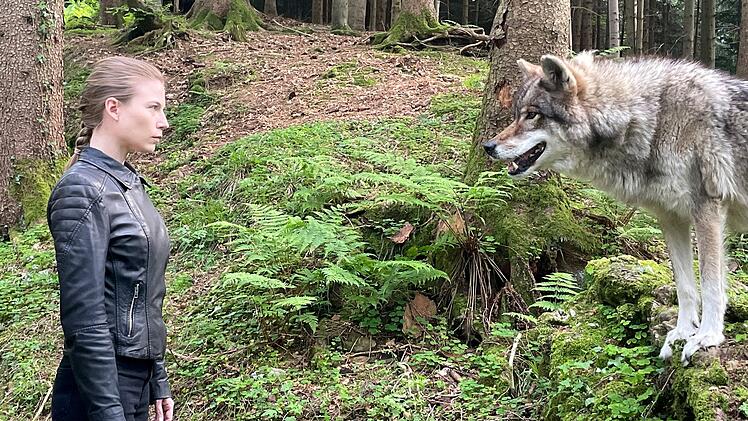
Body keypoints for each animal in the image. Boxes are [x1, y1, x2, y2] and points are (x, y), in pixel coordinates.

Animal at [482, 52, 748, 363]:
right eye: (516, 115)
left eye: (532, 115)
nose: (488, 146)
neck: (654, 120)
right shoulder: (672, 218)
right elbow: (684, 285)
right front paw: (681, 333)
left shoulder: (708, 211)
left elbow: (710, 284)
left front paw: (707, 337)